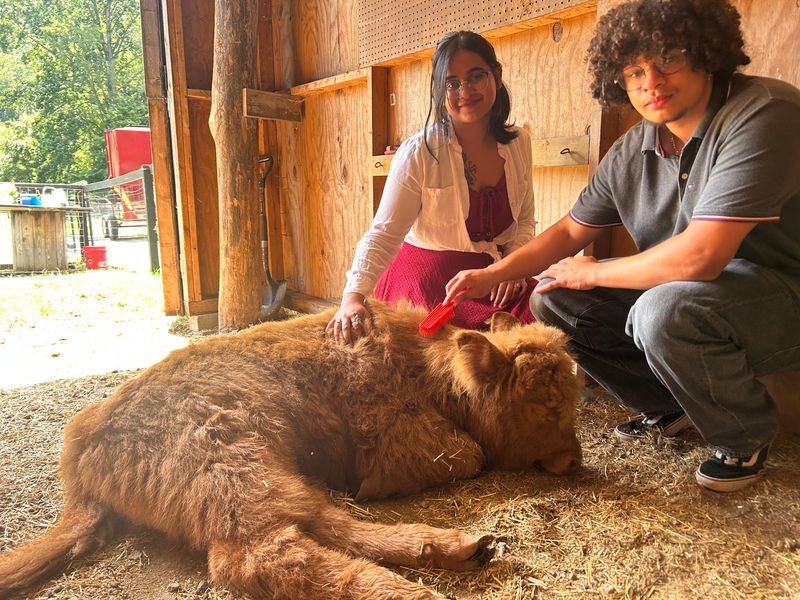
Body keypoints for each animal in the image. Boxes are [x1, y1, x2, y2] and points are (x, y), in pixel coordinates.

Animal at [0, 301, 582, 600]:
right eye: (546, 405)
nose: (574, 461)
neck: (426, 367)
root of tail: (85, 445)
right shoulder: (406, 445)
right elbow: (470, 454)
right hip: (241, 470)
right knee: (267, 553)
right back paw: (422, 589)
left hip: (266, 471)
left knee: (320, 522)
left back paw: (459, 547)